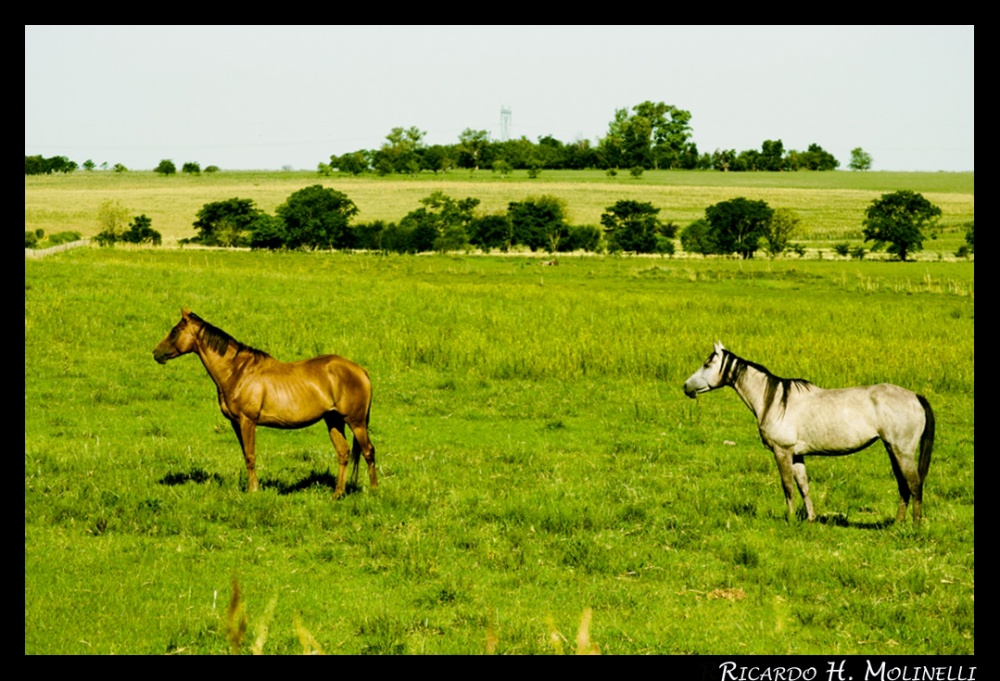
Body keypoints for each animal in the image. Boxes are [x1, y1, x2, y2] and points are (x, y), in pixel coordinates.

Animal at [152, 306, 376, 494]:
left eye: (175, 331)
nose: (156, 353)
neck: (238, 372)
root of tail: (361, 371)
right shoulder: (236, 423)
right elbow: (246, 455)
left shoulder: (248, 421)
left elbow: (251, 456)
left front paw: (253, 490)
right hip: (333, 420)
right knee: (344, 453)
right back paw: (338, 494)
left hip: (356, 422)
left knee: (368, 451)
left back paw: (373, 491)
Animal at [684, 342, 932, 524]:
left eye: (707, 364)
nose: (685, 387)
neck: (774, 401)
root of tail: (915, 396)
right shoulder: (797, 455)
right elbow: (803, 486)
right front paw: (810, 518)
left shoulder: (782, 451)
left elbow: (787, 486)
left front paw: (791, 519)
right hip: (892, 450)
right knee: (903, 486)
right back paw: (897, 525)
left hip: (902, 452)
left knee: (914, 485)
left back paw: (914, 526)